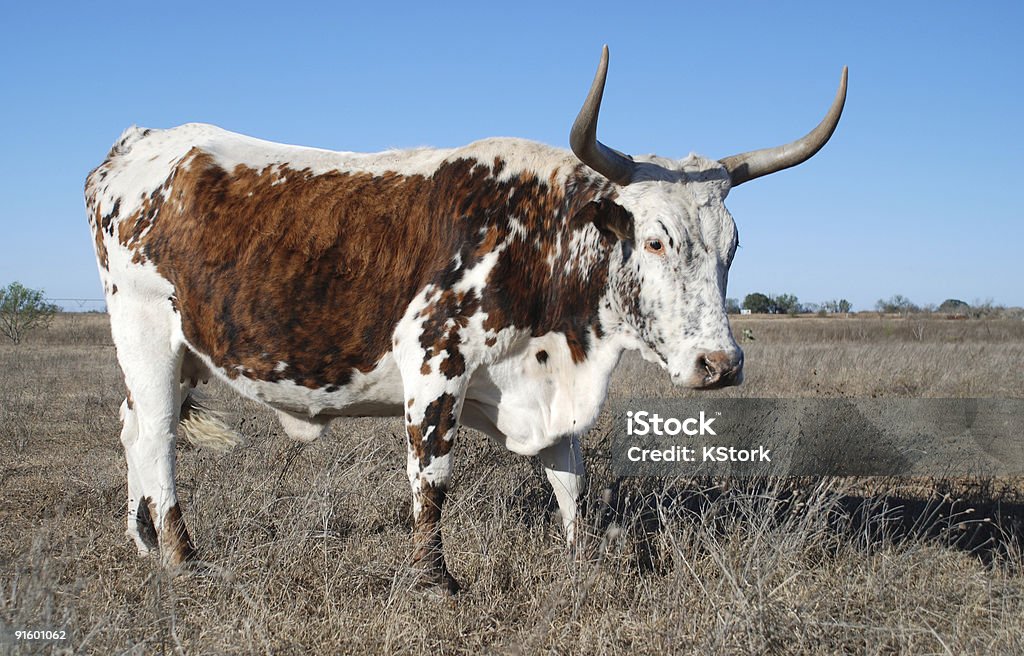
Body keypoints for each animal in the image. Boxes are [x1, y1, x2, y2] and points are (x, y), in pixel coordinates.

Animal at [83, 44, 843, 589]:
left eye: (732, 246)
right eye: (656, 240)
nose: (720, 364)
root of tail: (139, 144)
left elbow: (571, 477)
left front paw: (582, 562)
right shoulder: (432, 358)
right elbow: (433, 476)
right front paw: (433, 578)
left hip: (186, 350)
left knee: (131, 428)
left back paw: (141, 541)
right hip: (144, 333)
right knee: (157, 437)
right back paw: (180, 554)